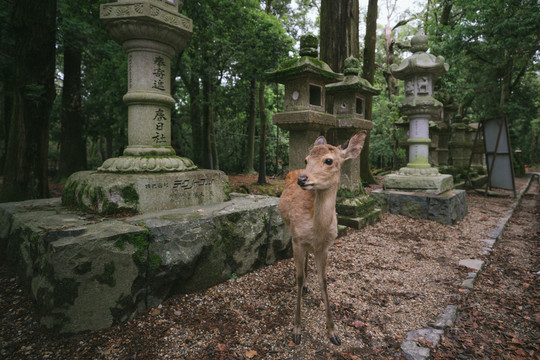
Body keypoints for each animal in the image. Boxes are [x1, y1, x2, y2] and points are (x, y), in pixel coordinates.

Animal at [278, 132, 368, 346]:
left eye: (329, 160)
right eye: (306, 159)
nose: (302, 179)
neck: (316, 229)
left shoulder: (325, 247)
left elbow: (324, 280)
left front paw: (333, 332)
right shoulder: (297, 240)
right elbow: (298, 276)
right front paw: (297, 330)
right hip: (289, 228)